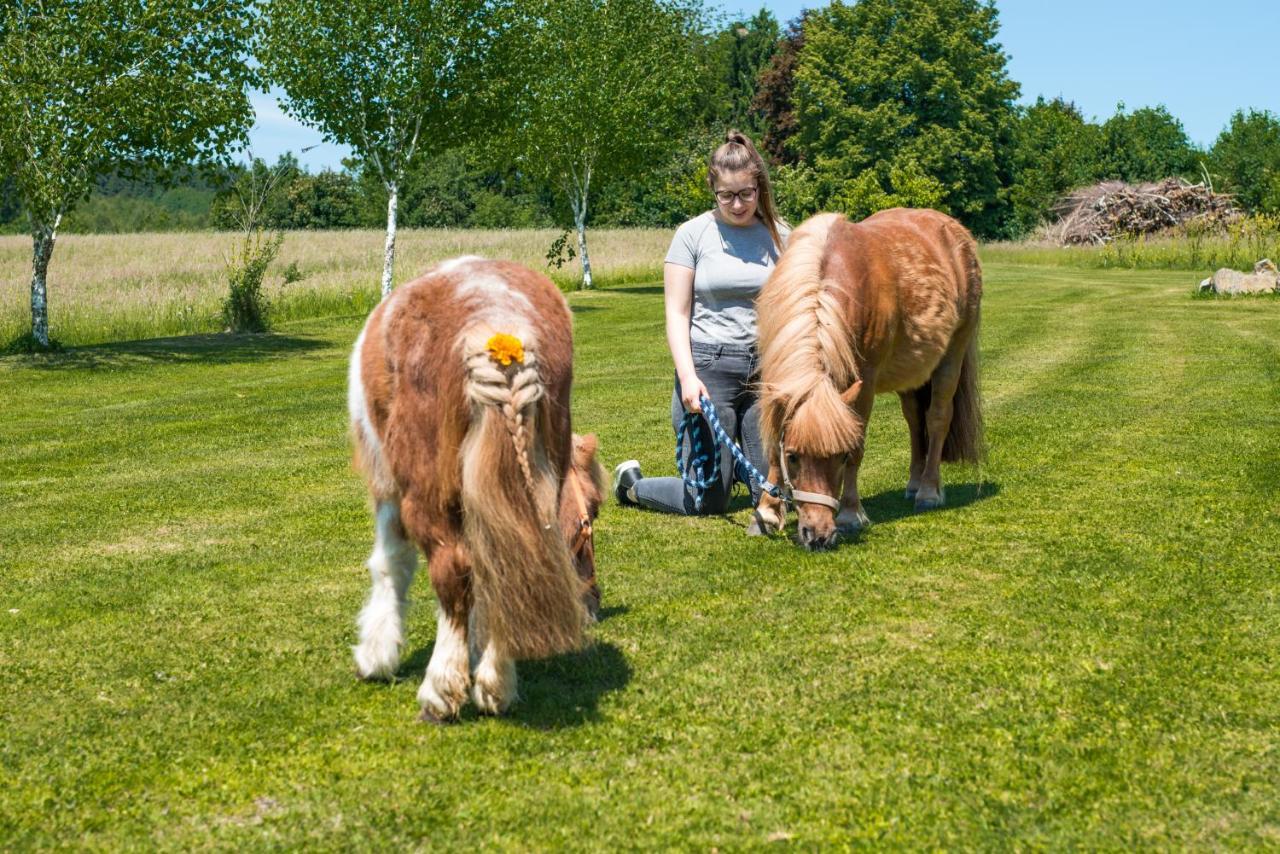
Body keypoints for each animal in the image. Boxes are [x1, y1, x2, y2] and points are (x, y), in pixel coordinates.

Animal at [345, 256, 604, 722]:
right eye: (591, 513)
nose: (594, 605)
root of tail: (497, 326)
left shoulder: (387, 488)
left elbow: (390, 564)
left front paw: (376, 654)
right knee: (506, 563)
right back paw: (496, 684)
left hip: (423, 494)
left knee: (454, 566)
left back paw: (441, 692)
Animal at [752, 209, 983, 550]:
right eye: (792, 457)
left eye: (841, 456)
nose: (818, 535)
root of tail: (956, 232)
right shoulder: (777, 378)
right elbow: (771, 446)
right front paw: (767, 513)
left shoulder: (865, 383)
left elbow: (859, 444)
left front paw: (851, 514)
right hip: (910, 375)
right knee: (915, 421)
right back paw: (913, 484)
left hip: (952, 355)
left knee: (938, 419)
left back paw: (928, 491)